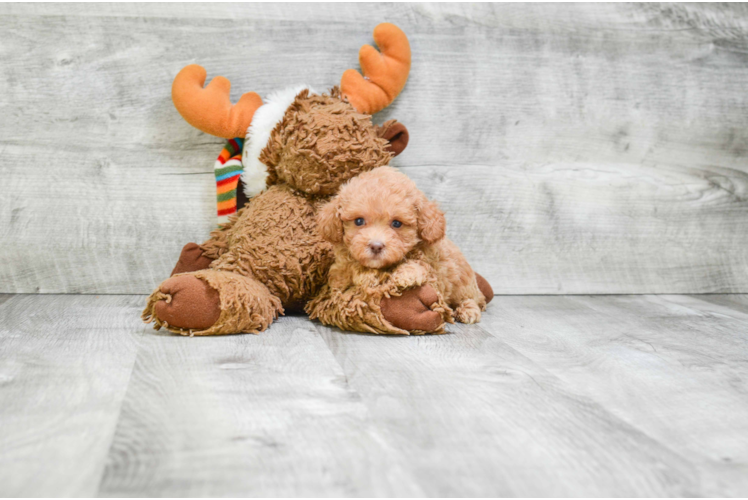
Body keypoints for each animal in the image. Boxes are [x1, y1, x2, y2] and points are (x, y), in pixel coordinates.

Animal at [310, 166, 490, 328]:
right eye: (359, 221)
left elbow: (420, 265)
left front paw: (406, 275)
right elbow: (343, 282)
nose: (376, 246)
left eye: (397, 223)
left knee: (472, 299)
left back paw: (468, 311)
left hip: (463, 283)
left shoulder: (435, 268)